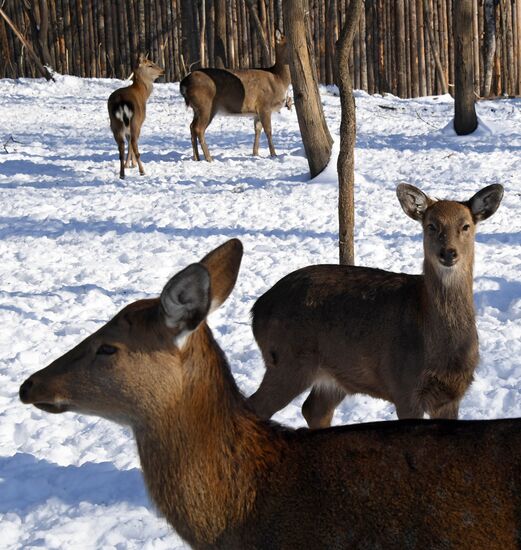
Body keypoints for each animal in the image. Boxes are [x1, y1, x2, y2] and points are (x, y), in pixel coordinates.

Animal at [181, 29, 290, 162]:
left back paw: (197, 158)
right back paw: (209, 158)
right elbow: (268, 131)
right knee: (199, 128)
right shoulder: (265, 105)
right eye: (289, 43)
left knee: (192, 127)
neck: (279, 79)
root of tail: (184, 83)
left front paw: (255, 154)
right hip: (205, 105)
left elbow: (257, 130)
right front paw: (274, 155)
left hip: (196, 108)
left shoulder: (257, 111)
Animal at [248, 185, 504, 432]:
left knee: (314, 409)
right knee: (255, 407)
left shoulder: (452, 394)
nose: (448, 253)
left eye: (466, 225)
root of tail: (257, 309)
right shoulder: (404, 386)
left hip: (335, 374)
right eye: (431, 225)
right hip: (286, 360)